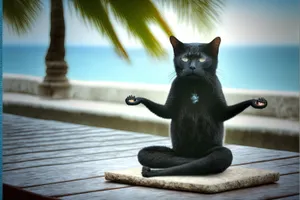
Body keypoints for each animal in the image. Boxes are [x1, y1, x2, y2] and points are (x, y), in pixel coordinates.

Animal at [124, 35, 268, 177]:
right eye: (185, 58)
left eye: (202, 59)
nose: (192, 66)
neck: (195, 85)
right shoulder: (173, 93)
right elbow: (164, 111)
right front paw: (135, 99)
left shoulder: (219, 100)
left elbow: (226, 111)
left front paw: (256, 102)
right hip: (162, 152)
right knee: (168, 159)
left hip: (221, 151)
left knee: (208, 159)